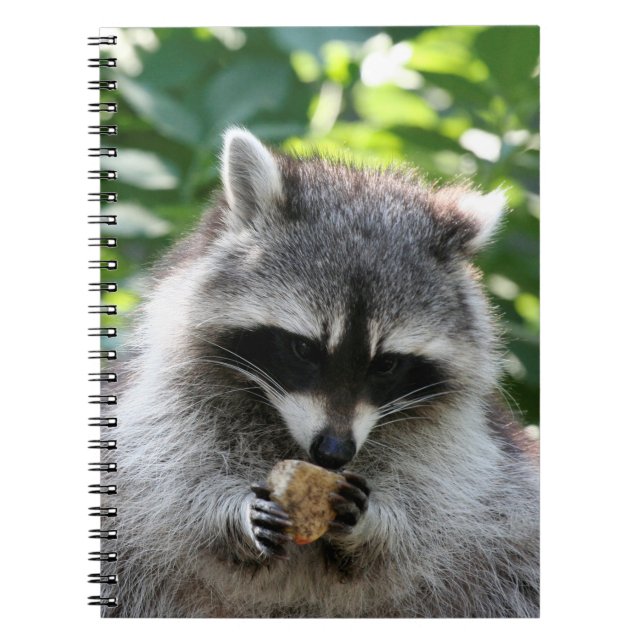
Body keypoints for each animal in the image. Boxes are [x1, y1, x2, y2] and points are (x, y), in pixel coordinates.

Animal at [102, 128, 539, 618]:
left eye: (386, 364)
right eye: (303, 349)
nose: (333, 451)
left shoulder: (457, 446)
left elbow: (436, 507)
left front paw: (375, 524)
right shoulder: (169, 406)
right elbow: (169, 481)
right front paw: (230, 514)